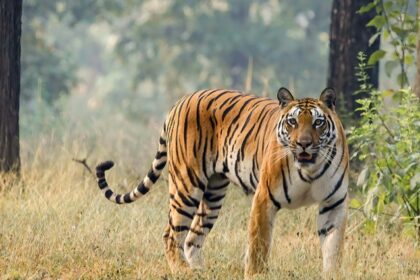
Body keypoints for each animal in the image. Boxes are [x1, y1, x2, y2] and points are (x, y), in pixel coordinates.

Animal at [97, 87, 350, 276]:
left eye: (317, 123)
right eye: (293, 122)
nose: (304, 144)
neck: (310, 169)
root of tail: (182, 100)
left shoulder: (334, 204)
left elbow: (333, 249)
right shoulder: (264, 198)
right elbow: (258, 246)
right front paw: (256, 274)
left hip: (214, 192)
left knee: (192, 238)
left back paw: (200, 271)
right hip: (186, 184)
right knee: (171, 234)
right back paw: (183, 271)